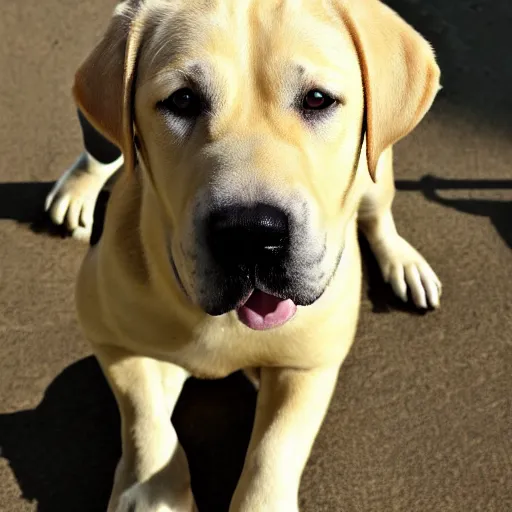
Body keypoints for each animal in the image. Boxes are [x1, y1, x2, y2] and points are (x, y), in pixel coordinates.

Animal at [47, 1, 440, 512]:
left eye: (317, 99)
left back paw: (404, 263)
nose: (251, 235)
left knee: (377, 212)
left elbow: (274, 449)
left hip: (379, 170)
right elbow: (145, 416)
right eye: (182, 101)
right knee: (103, 149)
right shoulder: (108, 334)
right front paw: (150, 489)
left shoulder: (308, 365)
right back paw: (78, 188)